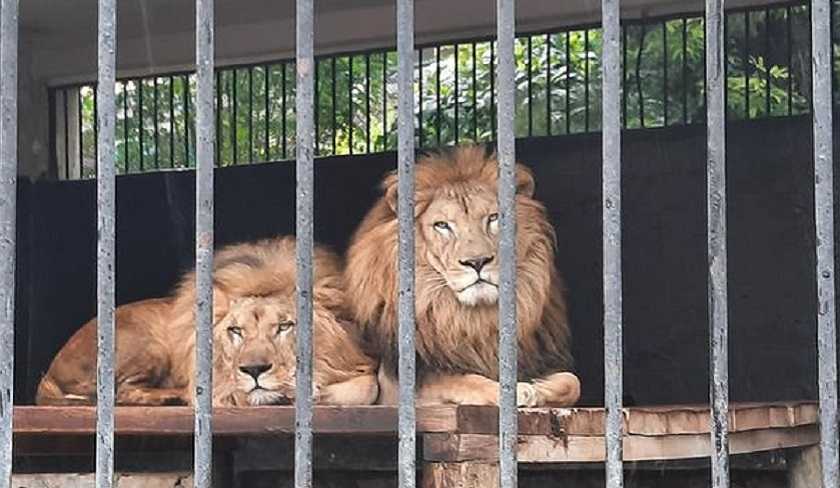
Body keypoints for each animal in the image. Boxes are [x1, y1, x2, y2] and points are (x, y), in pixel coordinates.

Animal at [36, 236, 378, 408]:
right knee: (122, 391)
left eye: (284, 326)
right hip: (146, 342)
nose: (254, 370)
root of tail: (48, 372)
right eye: (235, 331)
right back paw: (174, 396)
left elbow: (369, 386)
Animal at [344, 146, 580, 408]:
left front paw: (539, 387)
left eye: (494, 218)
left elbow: (573, 382)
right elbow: (462, 381)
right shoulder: (397, 387)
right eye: (442, 225)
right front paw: (517, 391)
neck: (469, 320)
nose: (477, 262)